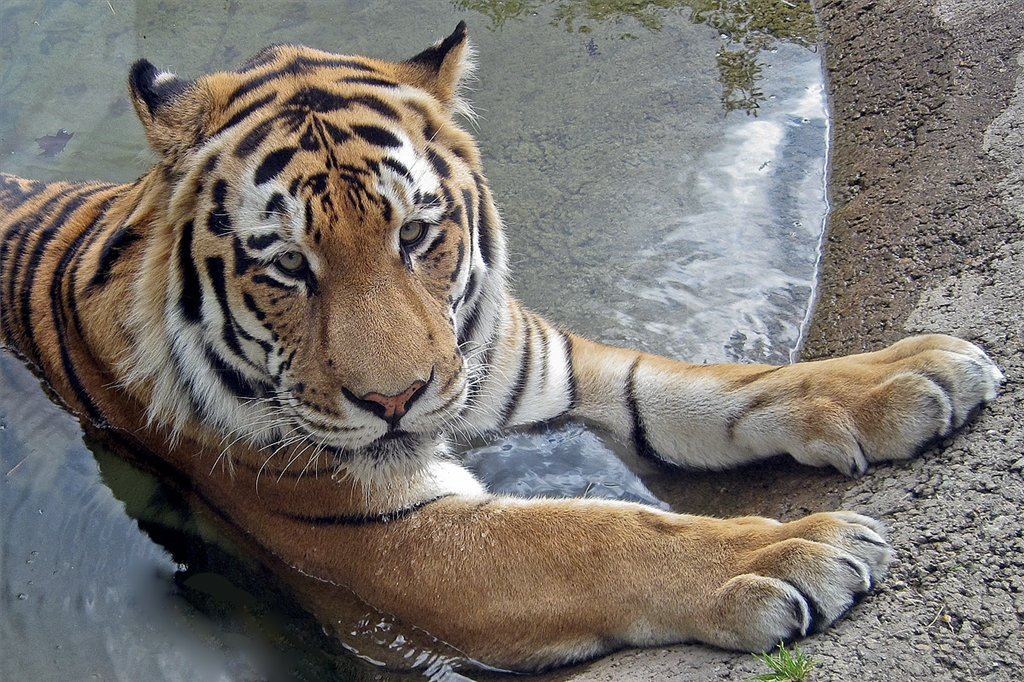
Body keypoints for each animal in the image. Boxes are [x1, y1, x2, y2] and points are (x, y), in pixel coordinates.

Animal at [0, 22, 1004, 672]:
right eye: (287, 264)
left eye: (414, 234)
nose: (394, 401)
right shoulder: (395, 539)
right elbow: (593, 535)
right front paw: (791, 553)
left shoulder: (551, 366)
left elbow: (714, 385)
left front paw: (914, 372)